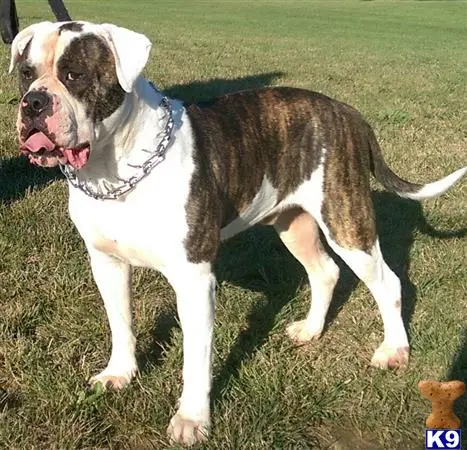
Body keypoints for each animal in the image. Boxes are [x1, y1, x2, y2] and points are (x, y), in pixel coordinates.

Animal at [8, 19, 467, 444]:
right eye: (26, 73)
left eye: (75, 75)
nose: (33, 103)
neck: (114, 166)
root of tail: (347, 112)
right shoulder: (106, 263)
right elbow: (121, 324)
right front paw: (119, 373)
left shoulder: (193, 278)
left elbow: (195, 359)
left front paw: (192, 420)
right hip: (293, 224)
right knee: (325, 271)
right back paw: (310, 330)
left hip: (345, 220)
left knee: (388, 283)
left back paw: (394, 350)